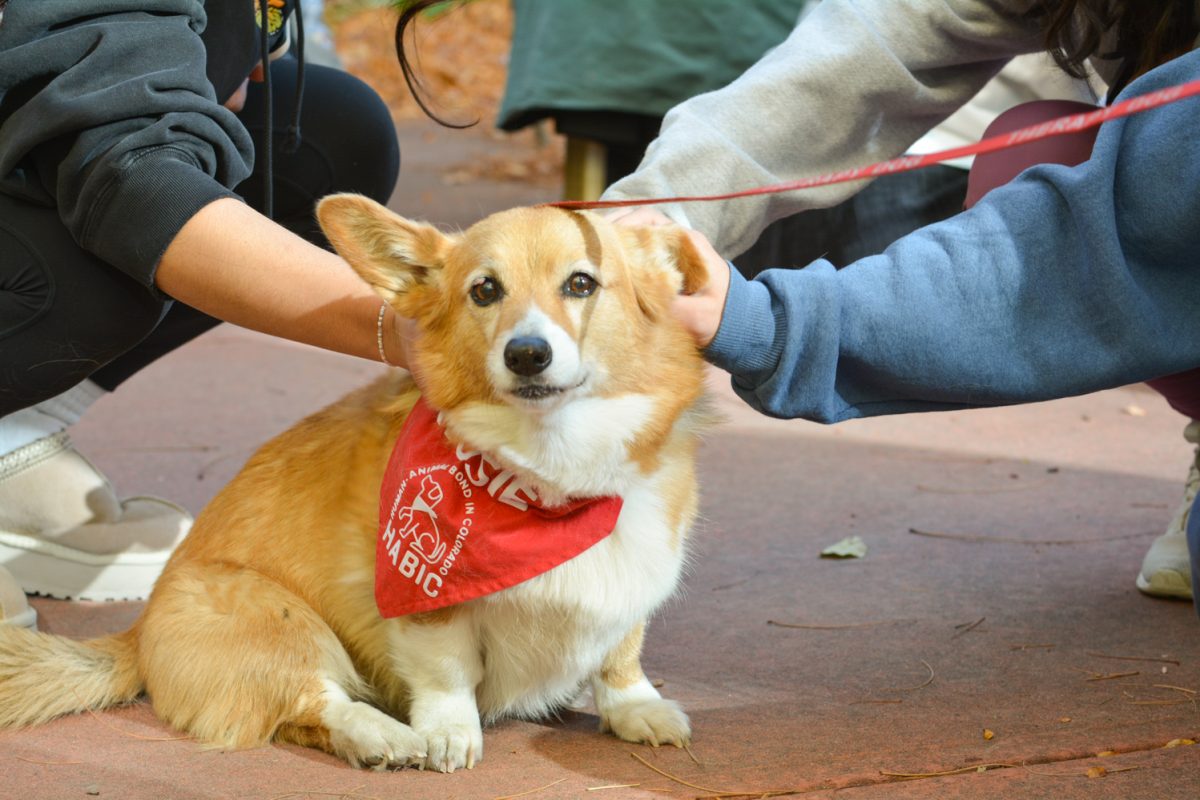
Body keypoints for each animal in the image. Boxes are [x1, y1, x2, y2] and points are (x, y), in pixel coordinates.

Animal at [0, 196, 710, 772]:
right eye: (485, 291)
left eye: (582, 283)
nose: (527, 354)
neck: (549, 473)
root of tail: (139, 632)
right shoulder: (423, 596)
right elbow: (447, 672)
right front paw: (450, 734)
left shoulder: (637, 573)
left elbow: (622, 651)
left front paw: (637, 708)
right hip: (277, 616)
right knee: (311, 697)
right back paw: (383, 734)